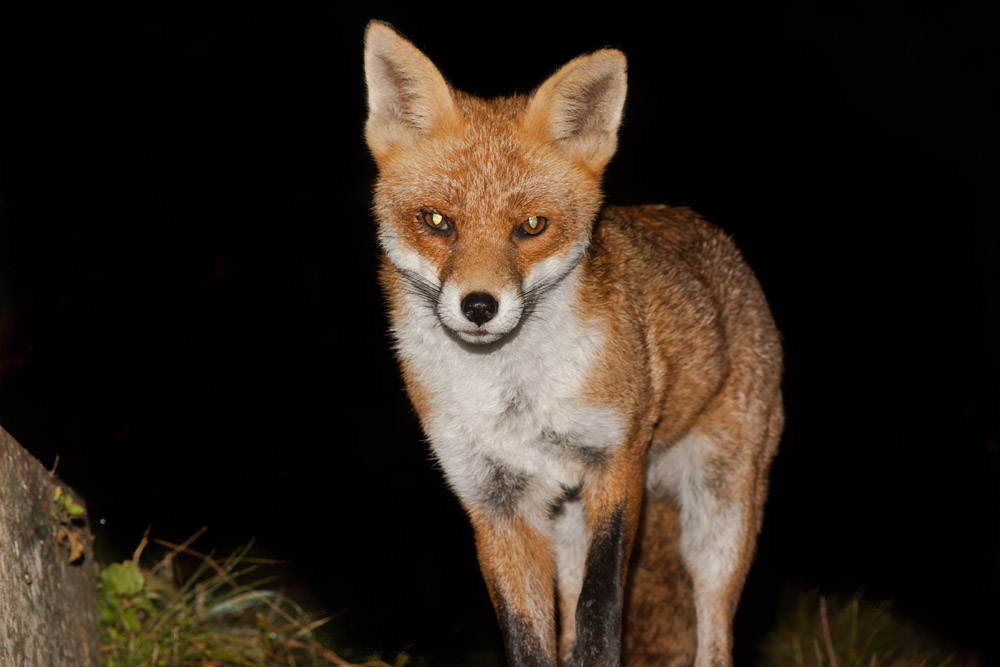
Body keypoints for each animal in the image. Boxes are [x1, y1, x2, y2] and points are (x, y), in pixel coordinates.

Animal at [363, 20, 783, 667]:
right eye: (436, 222)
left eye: (532, 227)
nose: (479, 307)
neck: (516, 395)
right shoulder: (495, 500)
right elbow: (530, 636)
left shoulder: (616, 464)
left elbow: (599, 610)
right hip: (564, 523)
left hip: (719, 519)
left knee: (714, 637)